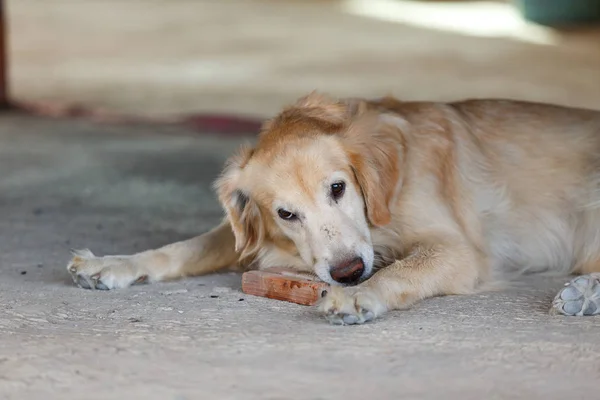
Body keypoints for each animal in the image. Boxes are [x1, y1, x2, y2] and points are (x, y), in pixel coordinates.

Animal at [67, 93, 600, 324]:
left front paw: (360, 296)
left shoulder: (460, 250)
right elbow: (184, 247)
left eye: (339, 188)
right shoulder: (254, 236)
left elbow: (403, 269)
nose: (347, 273)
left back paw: (583, 294)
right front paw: (112, 263)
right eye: (286, 215)